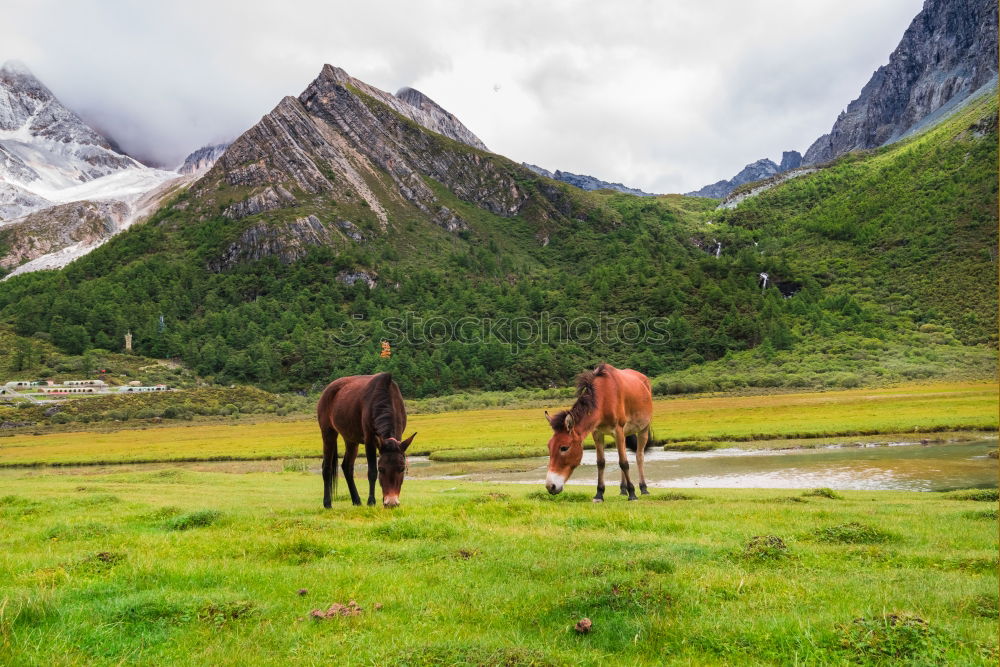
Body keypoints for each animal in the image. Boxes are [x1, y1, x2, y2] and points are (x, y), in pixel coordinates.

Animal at [318, 374, 416, 508]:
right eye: (381, 469)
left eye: (401, 469)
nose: (391, 503)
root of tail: (327, 390)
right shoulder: (370, 440)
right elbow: (372, 472)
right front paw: (371, 501)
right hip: (328, 432)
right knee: (326, 467)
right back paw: (327, 503)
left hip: (351, 439)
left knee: (347, 466)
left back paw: (356, 500)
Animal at [544, 366, 652, 500]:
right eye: (549, 446)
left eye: (564, 448)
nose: (550, 486)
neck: (604, 398)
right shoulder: (597, 433)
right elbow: (601, 463)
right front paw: (599, 493)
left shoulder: (618, 431)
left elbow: (624, 463)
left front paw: (632, 494)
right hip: (625, 434)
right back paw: (623, 489)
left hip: (643, 429)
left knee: (639, 457)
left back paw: (643, 488)